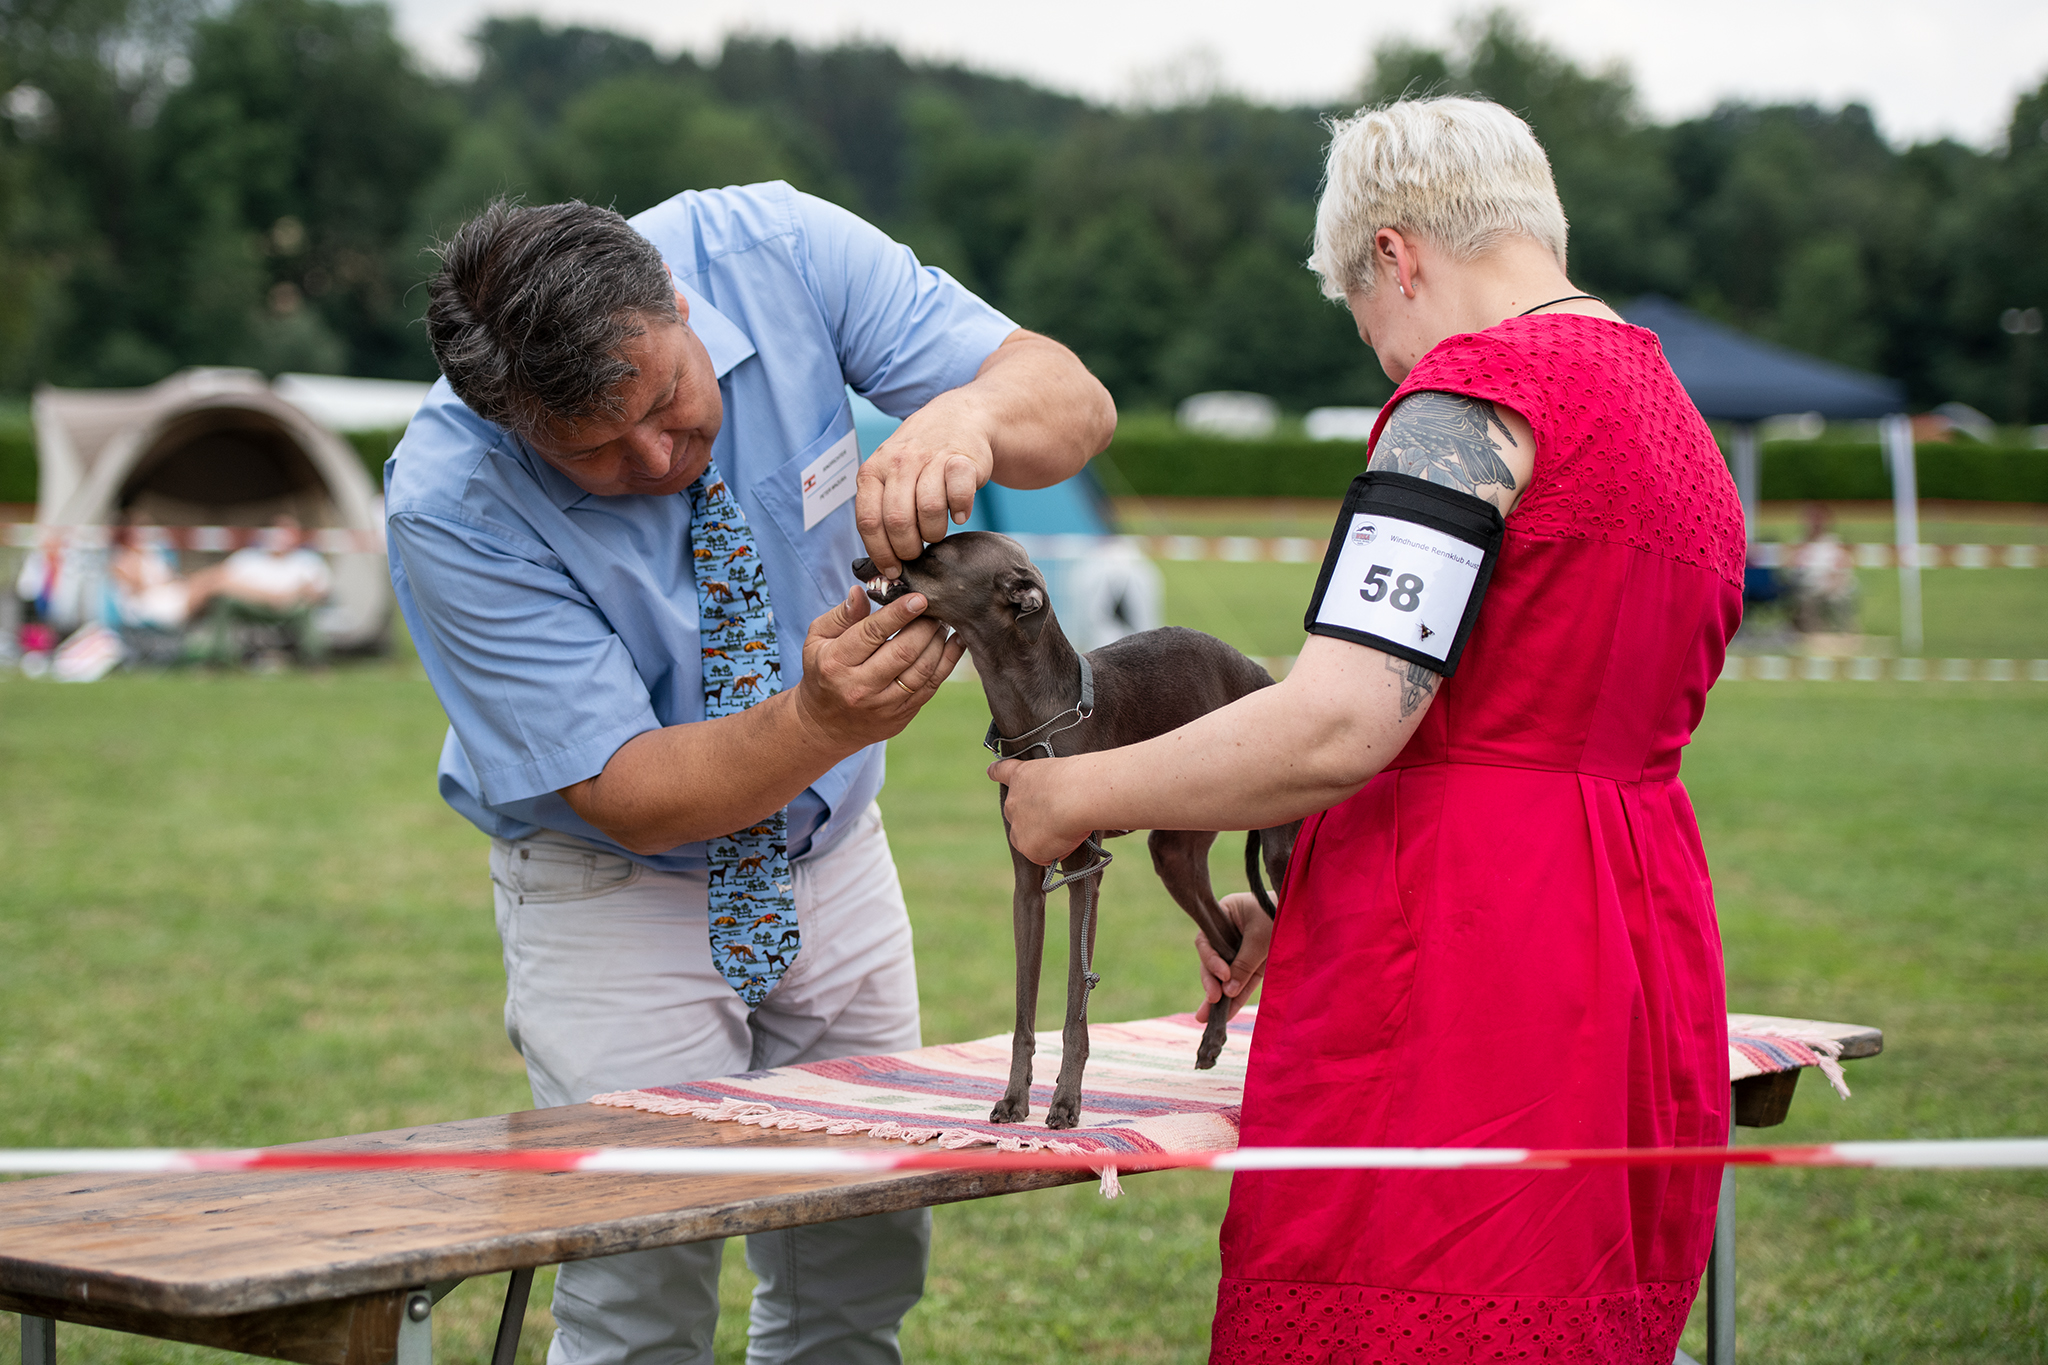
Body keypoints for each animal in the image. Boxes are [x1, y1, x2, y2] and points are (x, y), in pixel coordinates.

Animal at [854, 531, 1297, 1129]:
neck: (1040, 717)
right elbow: (1024, 1012)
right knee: (1229, 945)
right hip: (1175, 851)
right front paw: (1014, 1099)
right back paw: (1212, 1040)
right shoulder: (1027, 883)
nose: (859, 561)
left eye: (935, 552)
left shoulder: (1085, 874)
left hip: (1277, 851)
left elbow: (1073, 1010)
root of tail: (1263, 675)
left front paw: (1065, 1102)